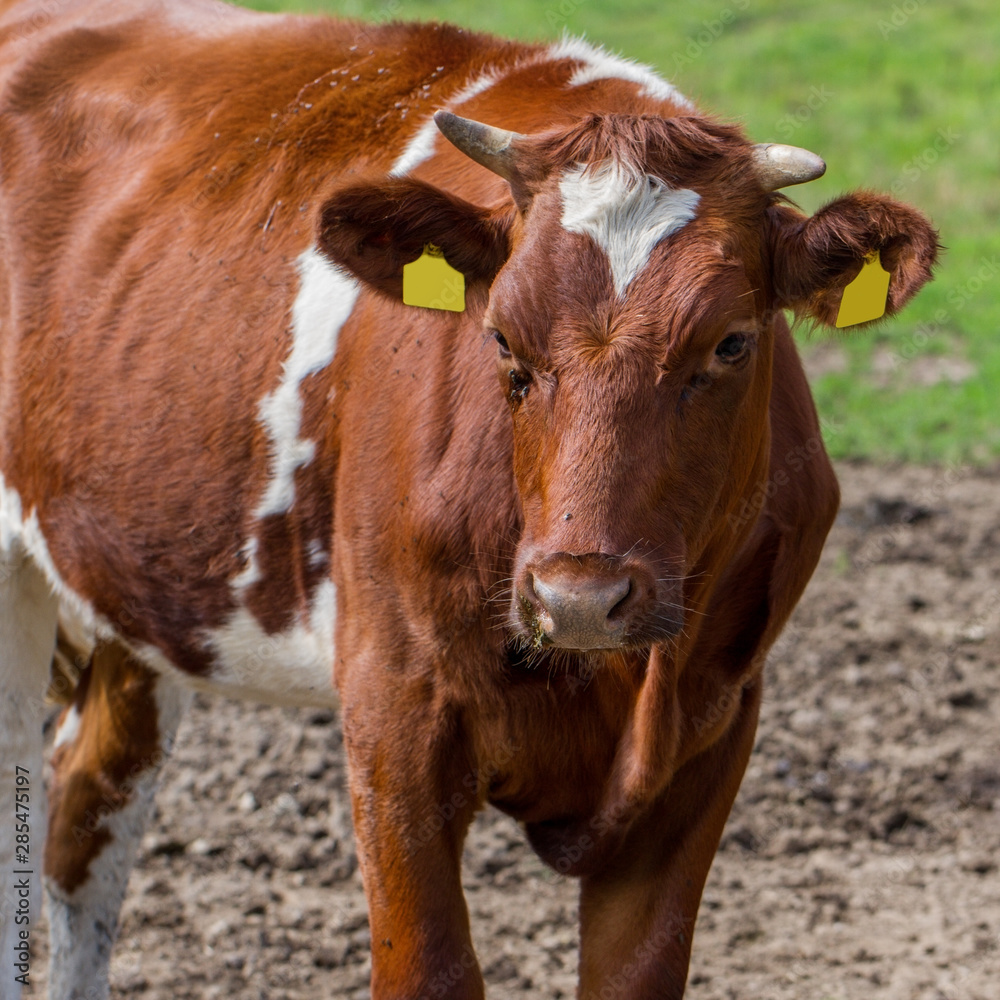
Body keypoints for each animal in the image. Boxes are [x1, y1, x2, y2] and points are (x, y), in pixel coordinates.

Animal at [0, 1, 936, 1000]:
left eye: (729, 341)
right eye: (501, 338)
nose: (578, 597)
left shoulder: (713, 729)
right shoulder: (393, 711)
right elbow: (431, 967)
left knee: (86, 808)